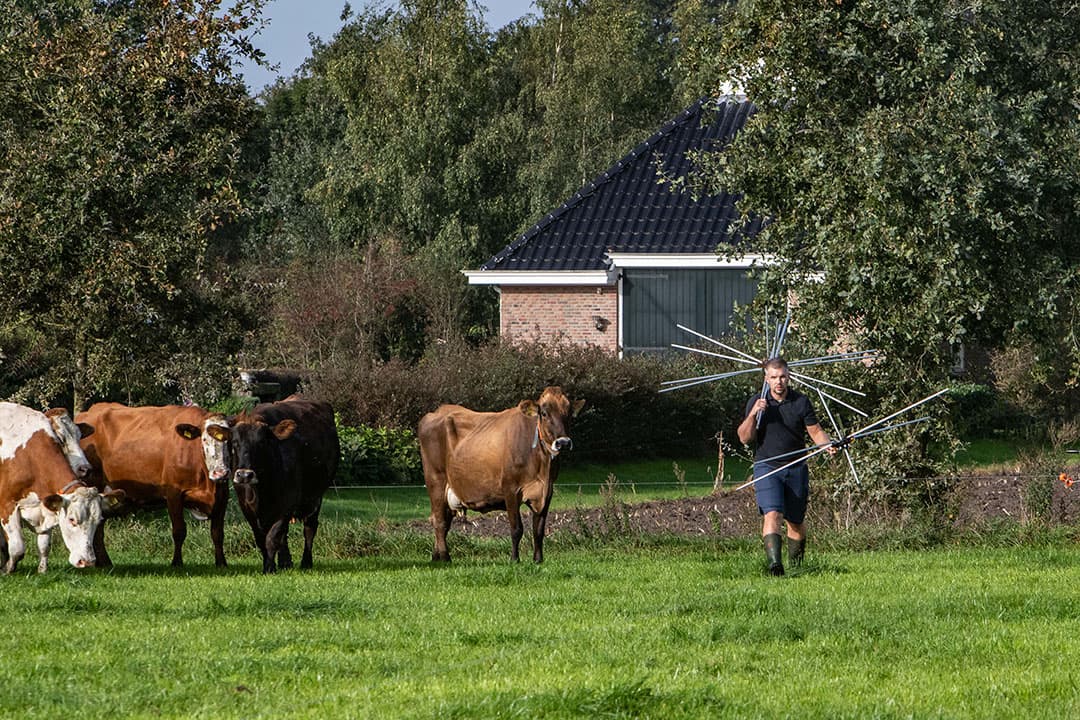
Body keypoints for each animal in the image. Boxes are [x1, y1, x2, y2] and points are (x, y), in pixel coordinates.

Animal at [0, 402, 108, 571]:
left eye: (98, 521)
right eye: (72, 519)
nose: (87, 561)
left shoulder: (47, 503)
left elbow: (44, 545)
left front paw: (42, 570)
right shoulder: (6, 504)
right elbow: (17, 548)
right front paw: (8, 568)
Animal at [76, 403, 232, 567]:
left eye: (230, 440)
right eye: (204, 440)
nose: (220, 473)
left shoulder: (223, 495)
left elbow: (217, 533)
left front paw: (221, 563)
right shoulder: (174, 494)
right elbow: (179, 531)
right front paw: (177, 563)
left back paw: (104, 562)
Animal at [229, 395, 339, 573]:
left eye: (261, 443)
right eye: (234, 443)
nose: (244, 475)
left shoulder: (287, 504)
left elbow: (272, 538)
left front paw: (269, 567)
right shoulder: (247, 507)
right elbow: (261, 539)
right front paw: (270, 563)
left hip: (315, 496)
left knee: (309, 528)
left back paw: (306, 562)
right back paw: (285, 562)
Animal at [418, 386, 585, 563]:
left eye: (569, 413)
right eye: (544, 413)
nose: (563, 442)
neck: (542, 467)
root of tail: (437, 412)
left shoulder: (547, 492)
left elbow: (538, 530)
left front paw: (538, 560)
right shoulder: (510, 489)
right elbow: (516, 528)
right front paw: (514, 559)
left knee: (442, 519)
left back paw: (436, 556)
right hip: (435, 480)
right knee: (439, 521)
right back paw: (444, 557)